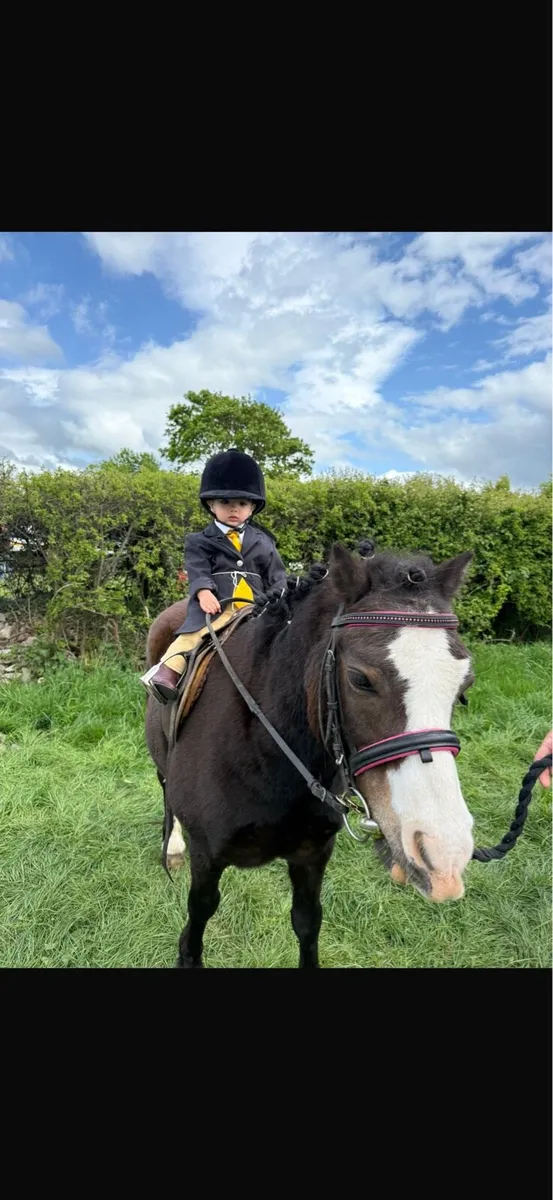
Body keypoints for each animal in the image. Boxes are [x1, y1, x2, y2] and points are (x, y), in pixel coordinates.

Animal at [145, 542, 475, 968]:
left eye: (465, 683)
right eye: (359, 679)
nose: (444, 850)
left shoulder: (312, 854)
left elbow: (307, 922)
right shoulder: (207, 856)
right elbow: (198, 919)